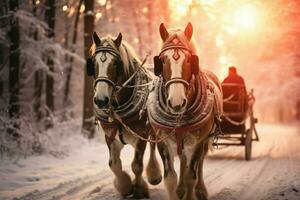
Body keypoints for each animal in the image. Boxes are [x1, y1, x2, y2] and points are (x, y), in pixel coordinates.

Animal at [85, 32, 162, 198]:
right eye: (93, 62)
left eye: (115, 63)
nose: (101, 100)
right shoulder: (110, 135)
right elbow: (114, 164)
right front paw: (125, 186)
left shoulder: (141, 135)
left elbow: (137, 165)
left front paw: (139, 189)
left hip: (152, 131)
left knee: (153, 147)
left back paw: (154, 175)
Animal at [148, 22, 223, 199]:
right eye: (162, 60)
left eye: (189, 59)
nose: (176, 102)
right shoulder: (163, 142)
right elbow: (170, 178)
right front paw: (177, 189)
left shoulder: (197, 143)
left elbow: (191, 176)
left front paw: (192, 190)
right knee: (183, 160)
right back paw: (181, 189)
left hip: (203, 141)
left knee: (200, 162)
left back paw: (200, 190)